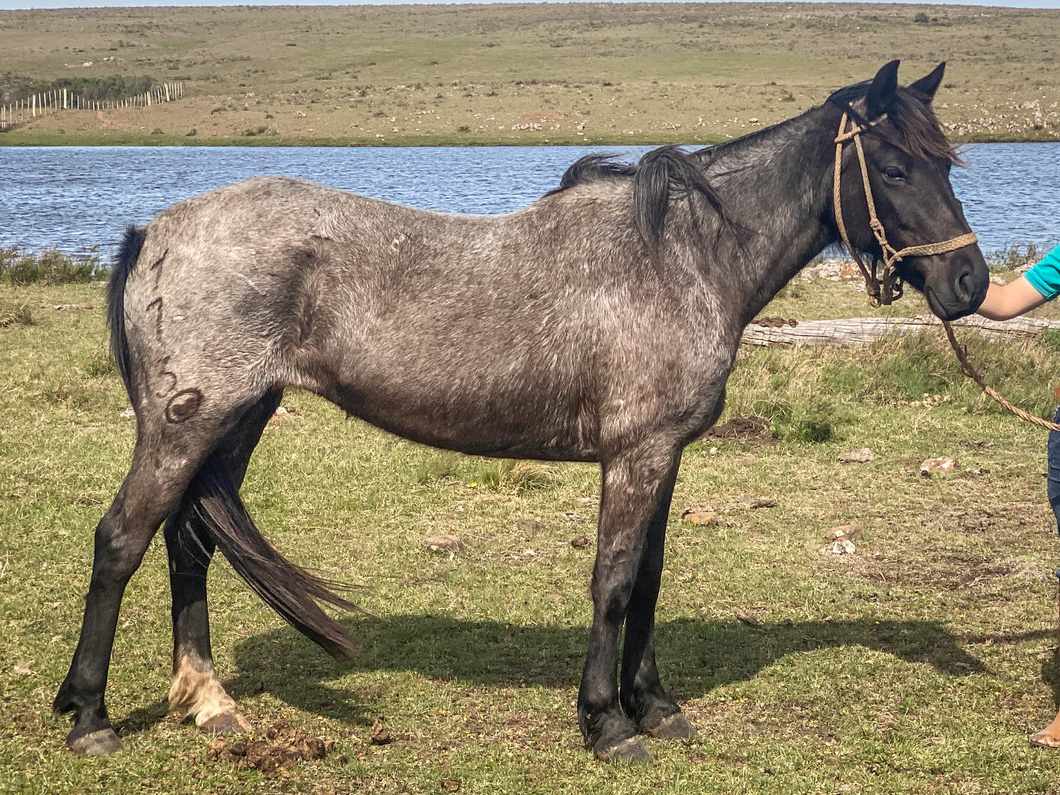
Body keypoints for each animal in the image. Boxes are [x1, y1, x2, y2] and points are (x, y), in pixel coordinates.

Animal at [55, 59, 983, 763]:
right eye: (893, 169)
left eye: (947, 164)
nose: (969, 281)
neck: (679, 255)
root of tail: (154, 231)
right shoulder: (635, 454)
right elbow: (614, 580)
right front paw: (608, 723)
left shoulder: (665, 454)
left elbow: (648, 577)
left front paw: (655, 705)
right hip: (187, 424)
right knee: (122, 540)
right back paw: (91, 716)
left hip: (238, 419)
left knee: (188, 541)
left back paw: (208, 700)